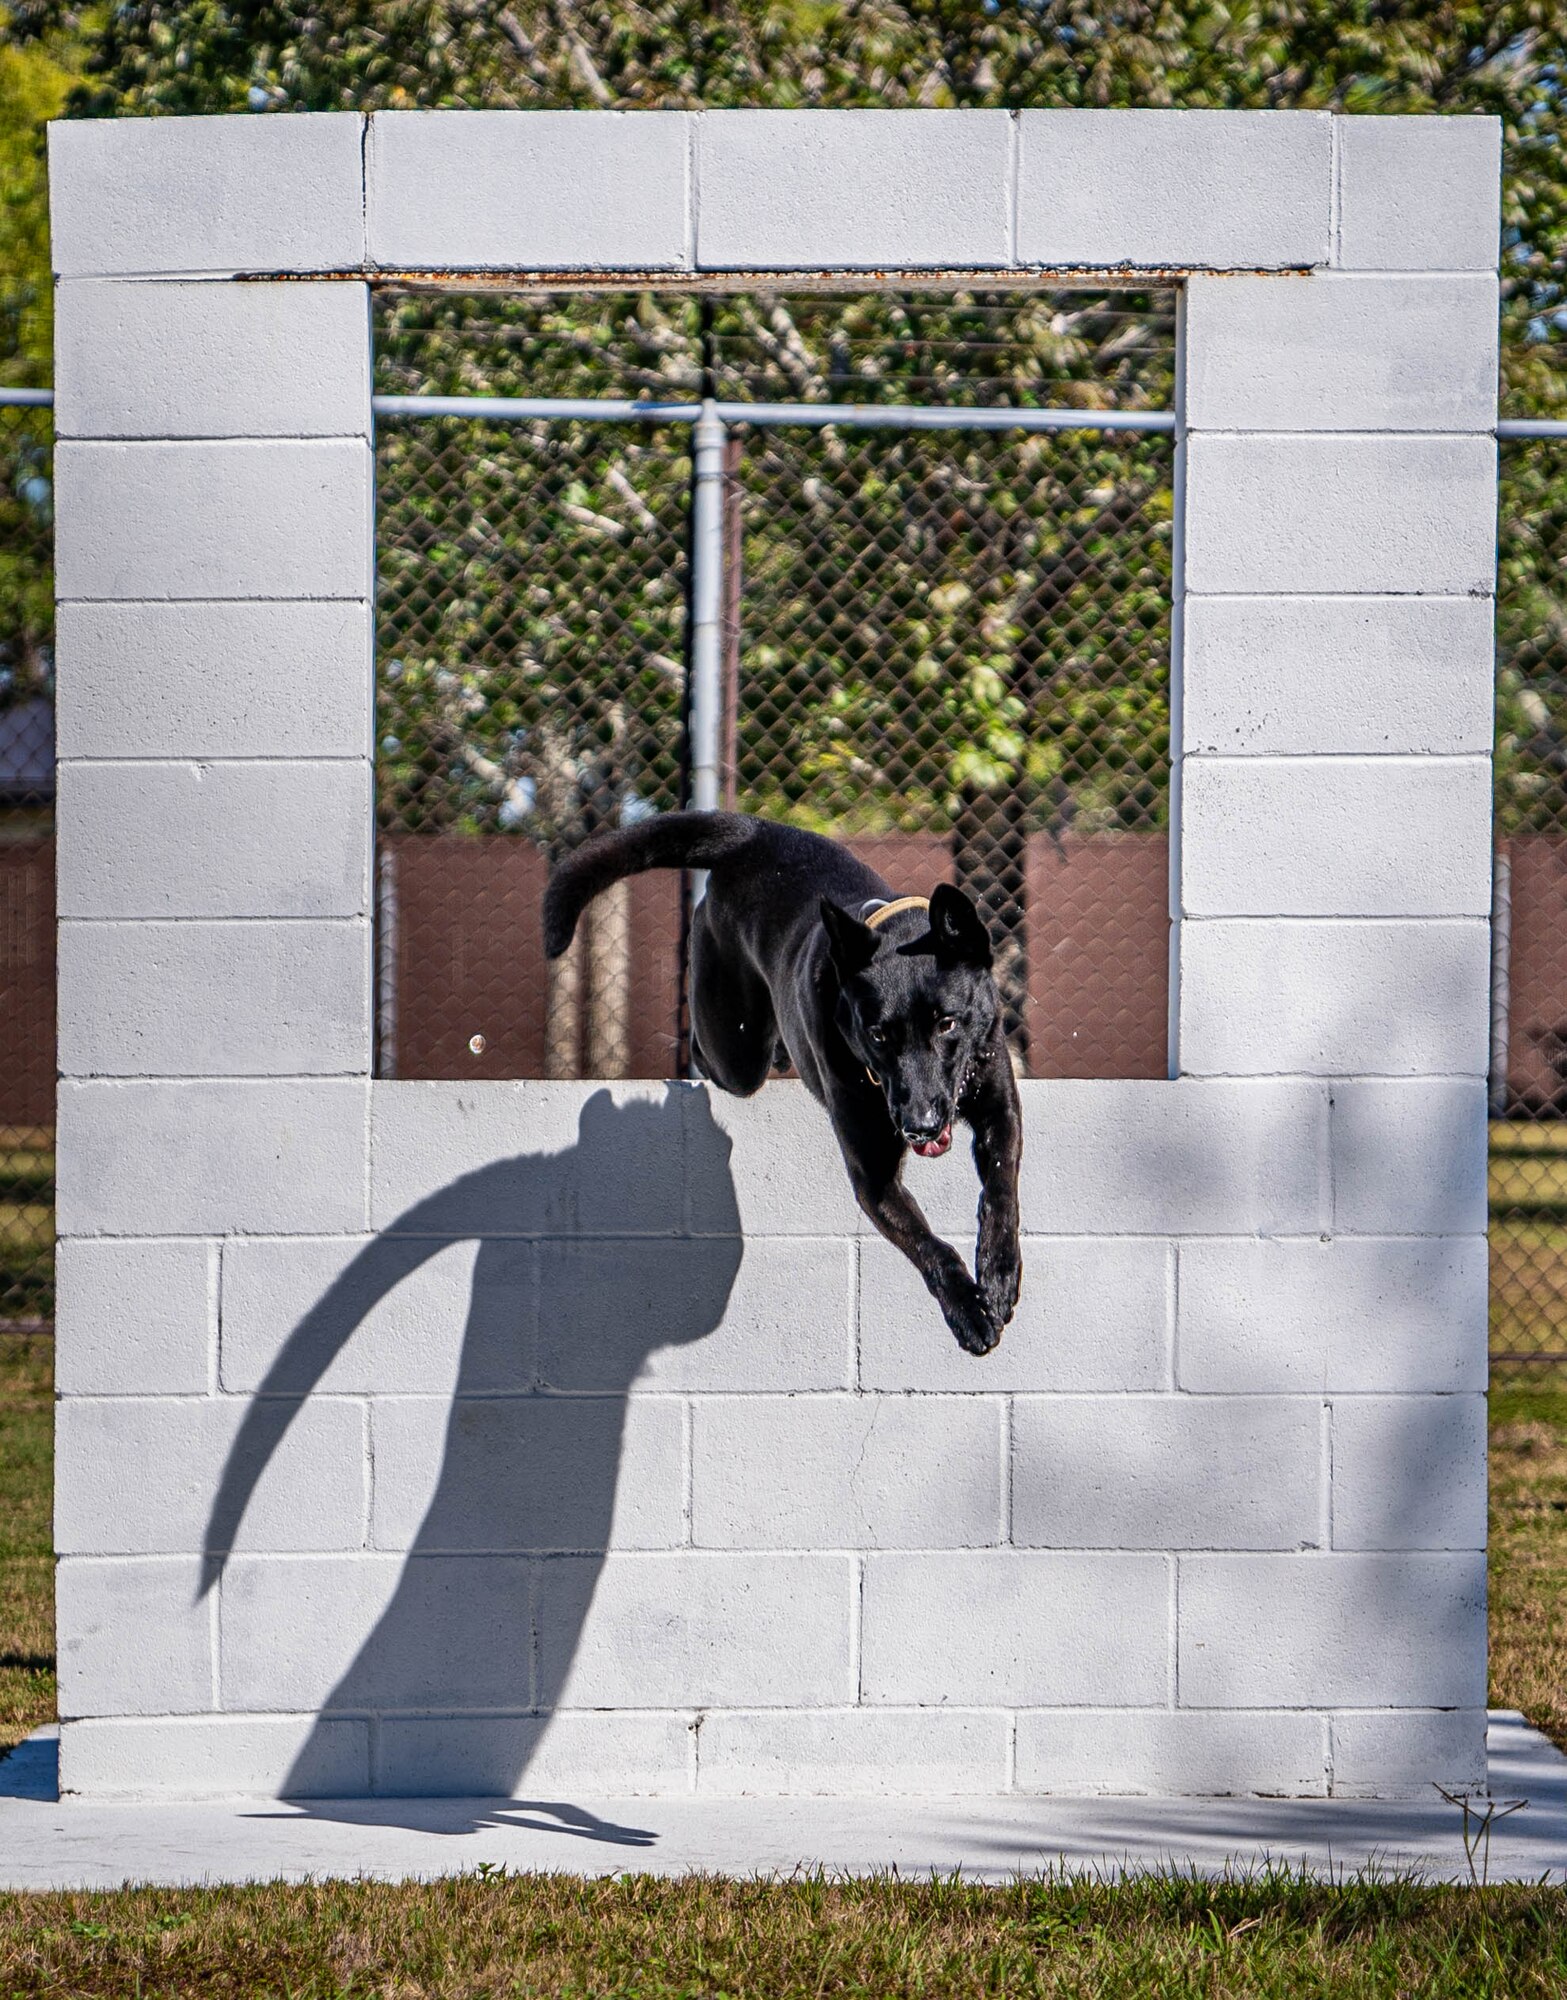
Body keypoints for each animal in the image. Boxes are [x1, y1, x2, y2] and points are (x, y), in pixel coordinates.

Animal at [543, 804, 1023, 1352]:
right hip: (734, 1045)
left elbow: (1001, 1193)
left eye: (947, 1024)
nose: (918, 1126)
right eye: (878, 1035)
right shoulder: (874, 1178)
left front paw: (998, 1280)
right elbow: (929, 1246)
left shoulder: (999, 1110)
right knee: (711, 1055)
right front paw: (968, 1312)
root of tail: (753, 832)